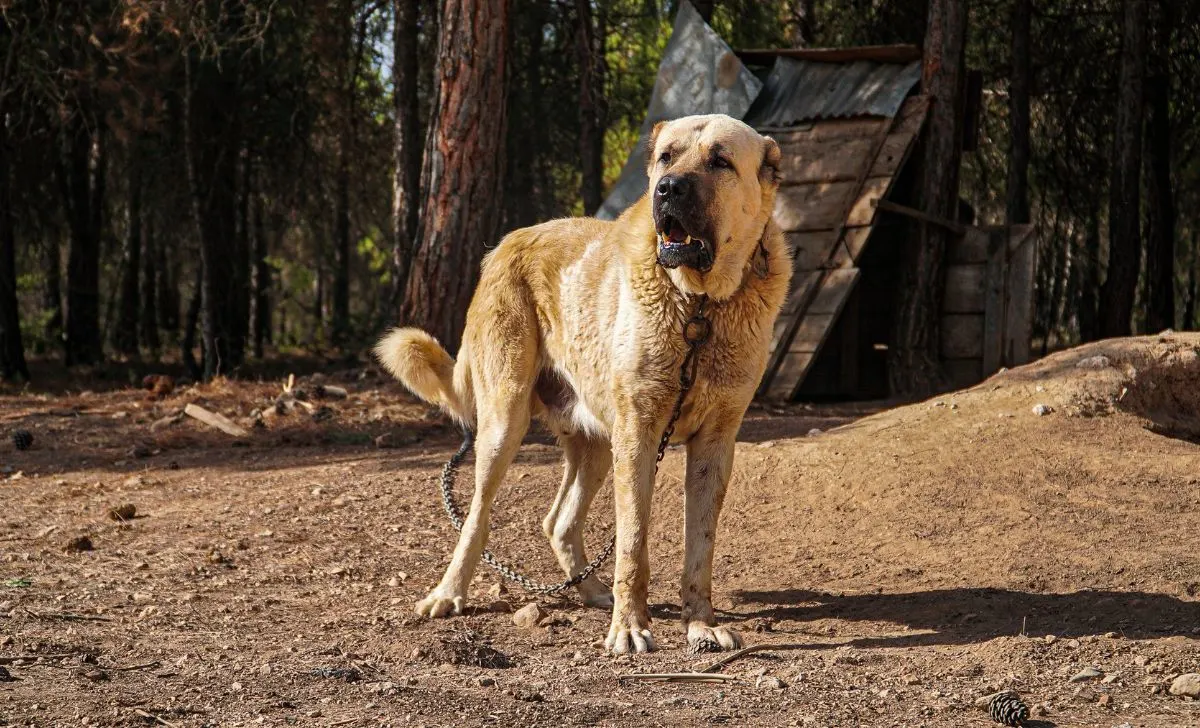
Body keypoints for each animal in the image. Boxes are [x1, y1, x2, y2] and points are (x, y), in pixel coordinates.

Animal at [374, 113, 787, 657]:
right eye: (666, 157)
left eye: (720, 161)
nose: (668, 189)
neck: (698, 307)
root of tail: (504, 244)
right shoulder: (638, 438)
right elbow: (632, 546)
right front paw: (628, 627)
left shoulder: (715, 445)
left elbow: (699, 549)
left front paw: (700, 624)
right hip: (505, 426)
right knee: (477, 518)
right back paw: (448, 594)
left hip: (594, 444)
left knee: (559, 523)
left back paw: (589, 591)